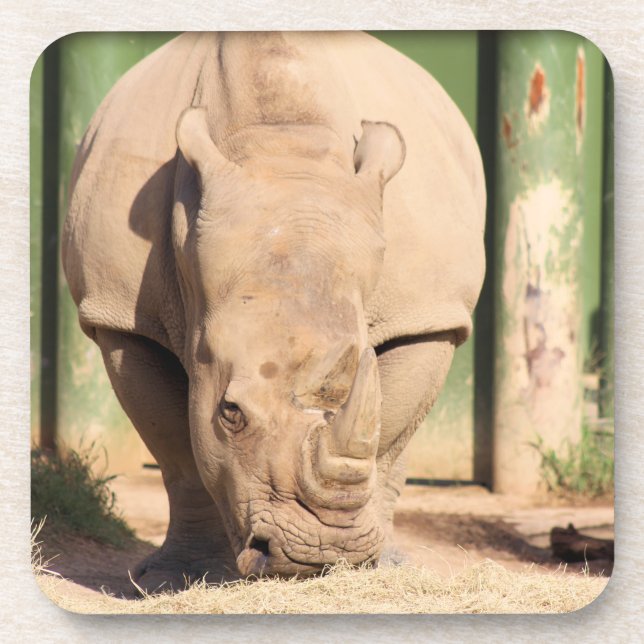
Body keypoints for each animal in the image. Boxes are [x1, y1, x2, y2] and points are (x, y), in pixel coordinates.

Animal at [62, 31, 485, 589]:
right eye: (230, 412)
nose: (321, 555)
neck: (281, 146)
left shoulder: (428, 315)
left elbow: (390, 439)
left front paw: (370, 566)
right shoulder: (122, 318)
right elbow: (176, 453)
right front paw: (177, 579)